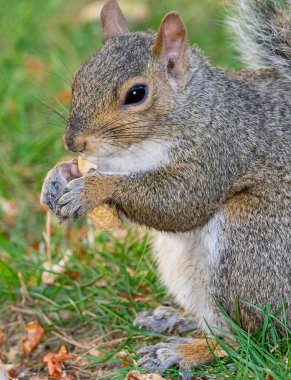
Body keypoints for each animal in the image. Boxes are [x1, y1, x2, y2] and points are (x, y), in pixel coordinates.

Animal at [41, 0, 291, 378]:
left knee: (255, 341)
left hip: (250, 243)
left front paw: (93, 188)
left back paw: (184, 352)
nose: (74, 143)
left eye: (136, 94)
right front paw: (57, 176)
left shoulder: (216, 151)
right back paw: (175, 320)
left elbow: (180, 203)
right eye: (78, 79)